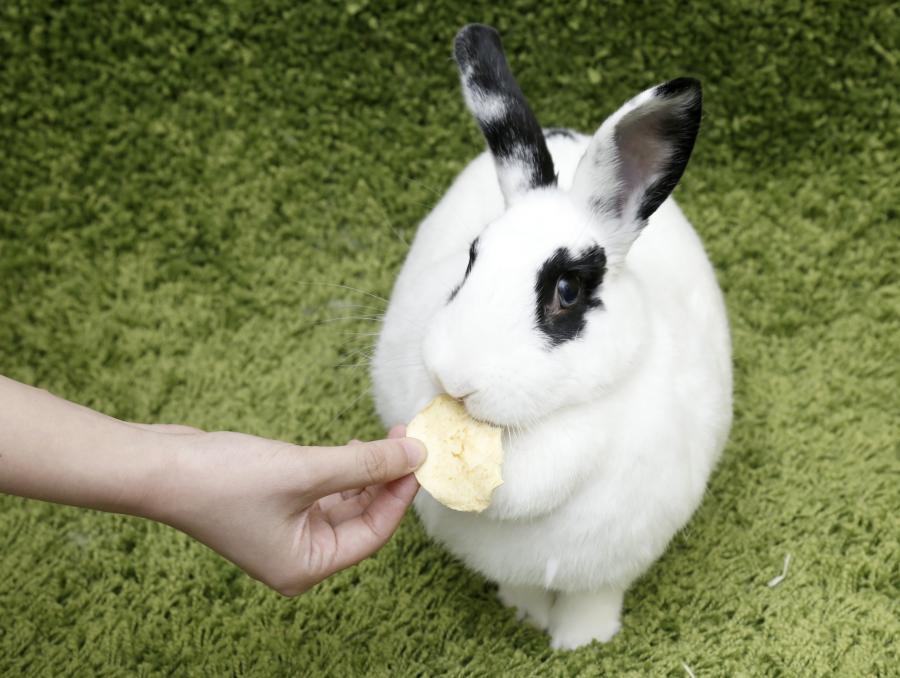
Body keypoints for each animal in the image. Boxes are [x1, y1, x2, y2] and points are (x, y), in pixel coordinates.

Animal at [370, 23, 732, 652]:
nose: (454, 379)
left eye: (567, 290)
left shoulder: (610, 553)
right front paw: (525, 616)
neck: (534, 425)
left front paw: (582, 642)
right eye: (471, 259)